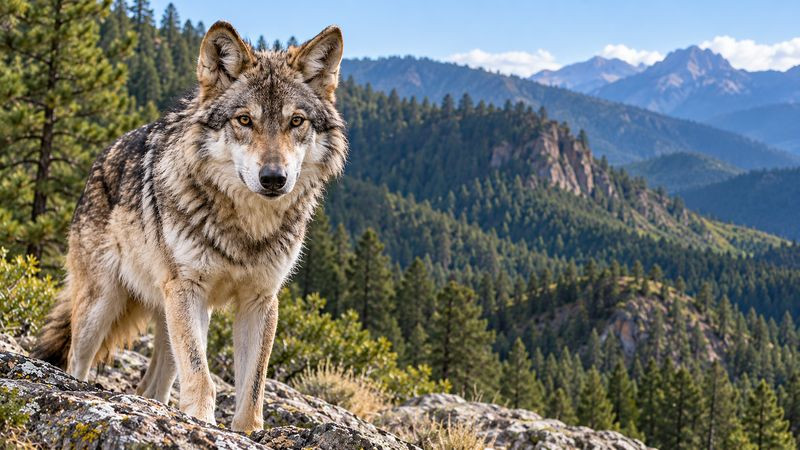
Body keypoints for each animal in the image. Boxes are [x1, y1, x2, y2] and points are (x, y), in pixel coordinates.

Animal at [31, 21, 347, 432]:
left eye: (296, 121)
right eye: (244, 120)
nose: (273, 178)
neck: (246, 227)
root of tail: (99, 160)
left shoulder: (260, 300)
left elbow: (254, 385)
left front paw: (247, 432)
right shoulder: (187, 289)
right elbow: (201, 374)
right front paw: (201, 420)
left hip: (170, 317)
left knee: (152, 385)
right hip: (104, 305)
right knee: (76, 361)